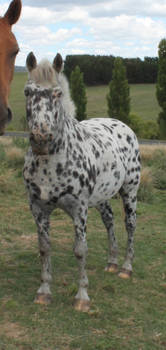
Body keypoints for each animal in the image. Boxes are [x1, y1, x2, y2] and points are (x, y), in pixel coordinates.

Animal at [23, 52, 140, 312]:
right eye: (27, 92)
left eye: (58, 93)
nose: (41, 139)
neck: (52, 162)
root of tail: (124, 126)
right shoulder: (38, 208)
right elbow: (44, 248)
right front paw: (43, 292)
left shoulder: (79, 209)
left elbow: (80, 250)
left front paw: (82, 297)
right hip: (102, 198)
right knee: (109, 221)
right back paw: (112, 262)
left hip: (130, 191)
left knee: (130, 224)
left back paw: (126, 268)